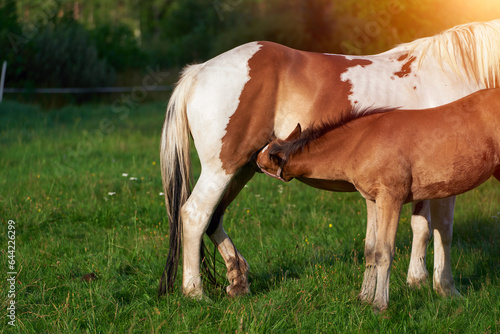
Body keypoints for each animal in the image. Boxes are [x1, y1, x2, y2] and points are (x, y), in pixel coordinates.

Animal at [258, 88, 500, 310]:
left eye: (265, 159)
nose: (255, 160)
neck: (361, 141)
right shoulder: (372, 200)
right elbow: (370, 250)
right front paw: (364, 297)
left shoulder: (390, 198)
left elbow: (384, 251)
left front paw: (379, 304)